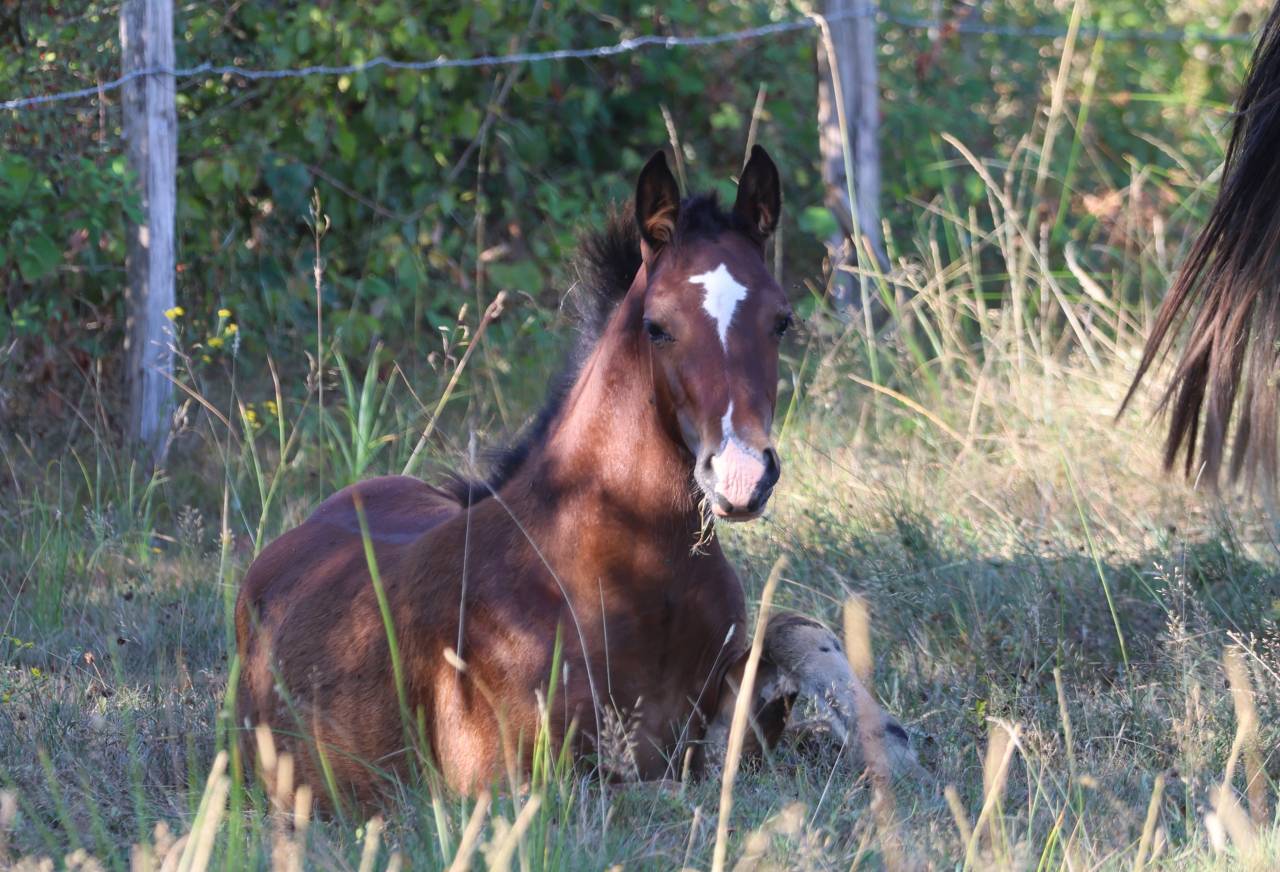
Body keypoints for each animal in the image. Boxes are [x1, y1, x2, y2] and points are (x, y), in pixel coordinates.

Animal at [235, 147, 914, 807]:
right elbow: (667, 793)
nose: (742, 477)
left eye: (782, 320)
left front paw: (887, 738)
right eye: (657, 326)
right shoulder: (508, 789)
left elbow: (792, 632)